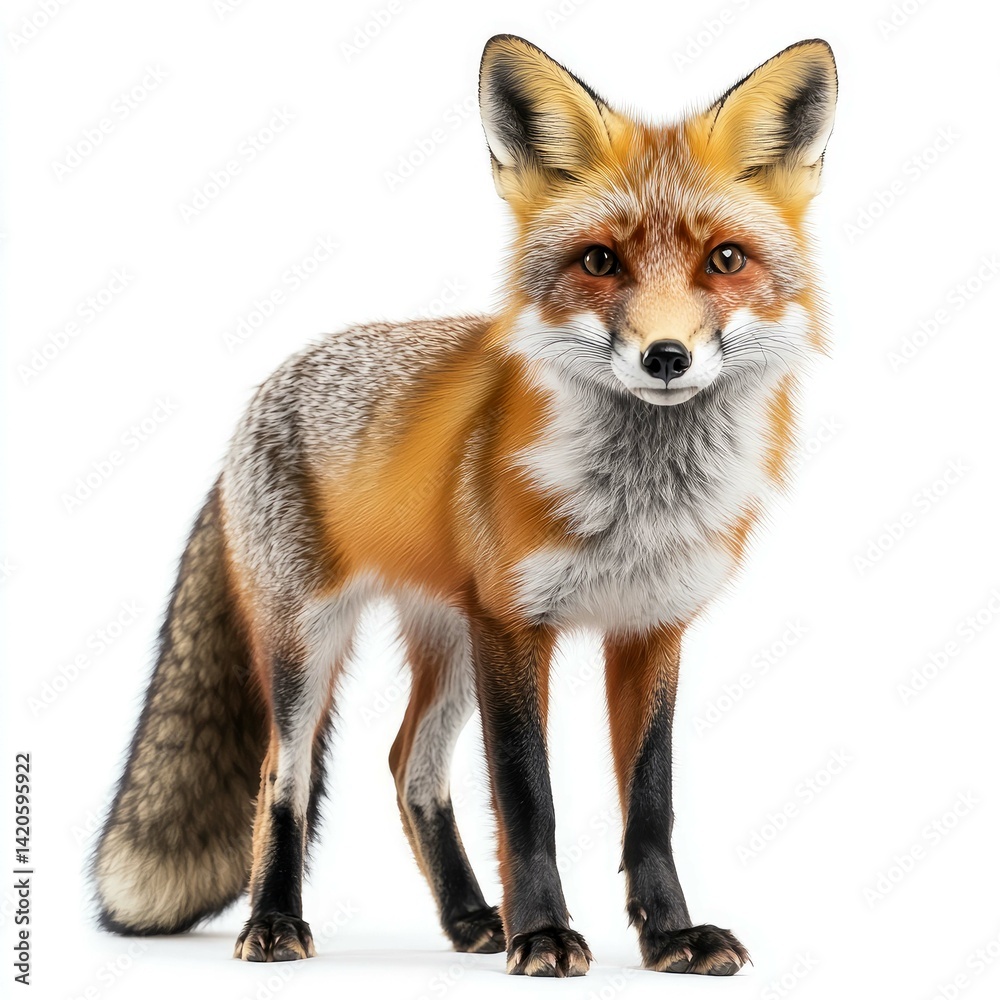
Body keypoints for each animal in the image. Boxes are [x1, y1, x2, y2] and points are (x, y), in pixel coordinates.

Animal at [92, 35, 837, 977]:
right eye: (600, 261)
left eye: (726, 260)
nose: (666, 356)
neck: (638, 508)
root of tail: (264, 392)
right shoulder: (515, 625)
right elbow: (528, 801)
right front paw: (546, 934)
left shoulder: (650, 627)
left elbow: (651, 804)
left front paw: (669, 935)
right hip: (312, 641)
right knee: (281, 776)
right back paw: (275, 922)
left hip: (449, 639)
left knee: (408, 765)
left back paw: (469, 917)